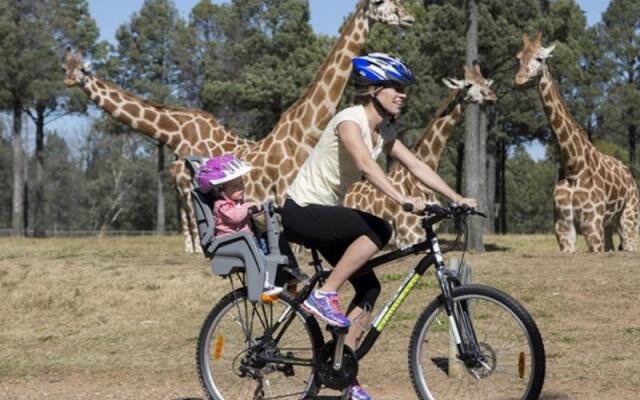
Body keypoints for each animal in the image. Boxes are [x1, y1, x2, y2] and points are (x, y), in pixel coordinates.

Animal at [516, 32, 640, 253]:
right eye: (519, 57)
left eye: (540, 58)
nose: (519, 79)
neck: (573, 167)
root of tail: (630, 175)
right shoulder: (564, 229)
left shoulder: (592, 226)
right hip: (609, 225)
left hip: (629, 220)